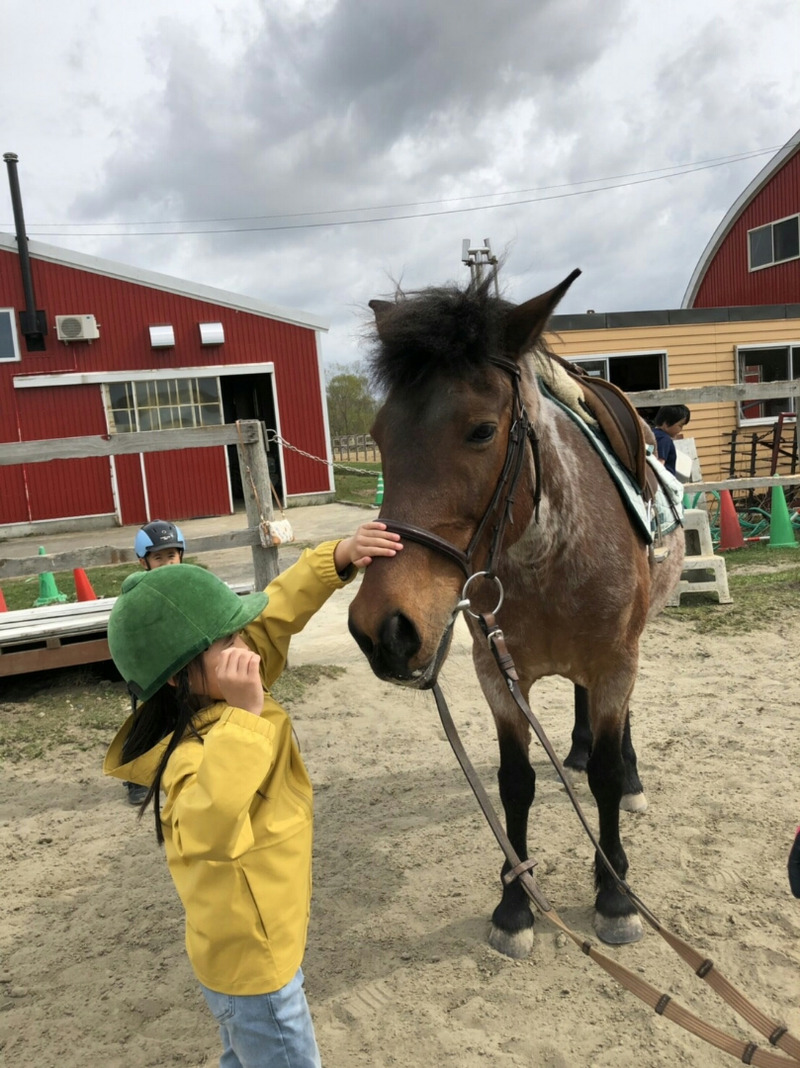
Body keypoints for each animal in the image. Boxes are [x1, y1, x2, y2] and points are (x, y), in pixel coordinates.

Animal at [346, 269, 683, 961]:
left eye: (480, 430)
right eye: (380, 434)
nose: (382, 629)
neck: (545, 553)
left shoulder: (616, 662)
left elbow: (606, 775)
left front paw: (614, 894)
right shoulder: (497, 675)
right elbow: (514, 783)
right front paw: (515, 905)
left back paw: (629, 779)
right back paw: (574, 751)